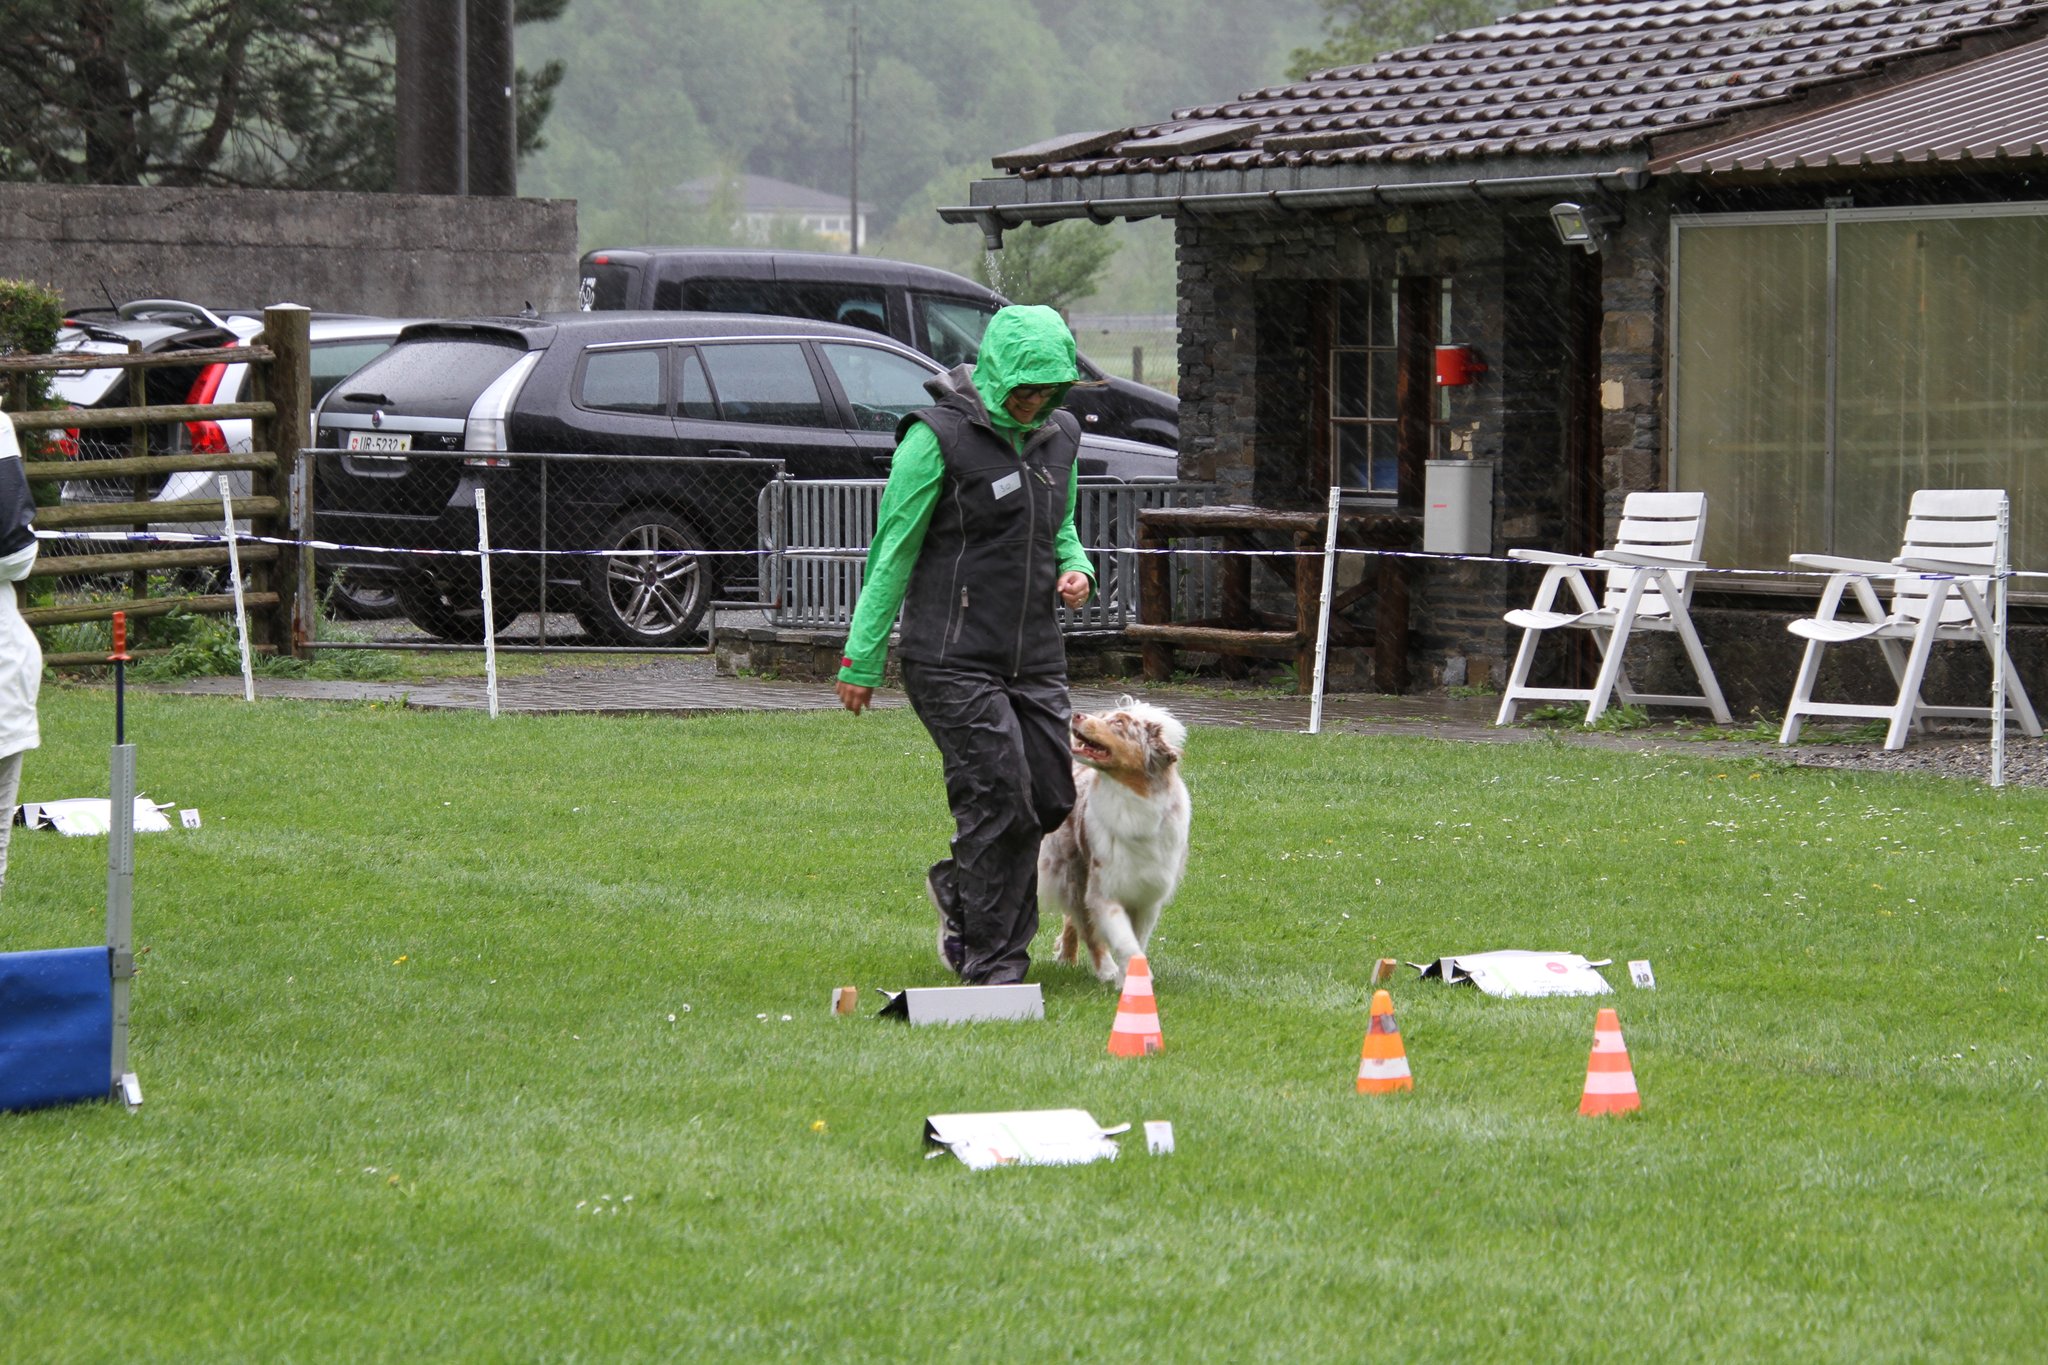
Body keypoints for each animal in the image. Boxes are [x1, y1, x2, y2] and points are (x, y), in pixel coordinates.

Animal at [1039, 696, 1191, 985]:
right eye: (1107, 718)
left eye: (1119, 723)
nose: (1076, 715)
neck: (1131, 802)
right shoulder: (1103, 891)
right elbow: (1123, 938)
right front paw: (1125, 975)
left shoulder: (1148, 895)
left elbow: (1138, 938)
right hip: (1074, 872)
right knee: (1083, 923)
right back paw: (1101, 968)